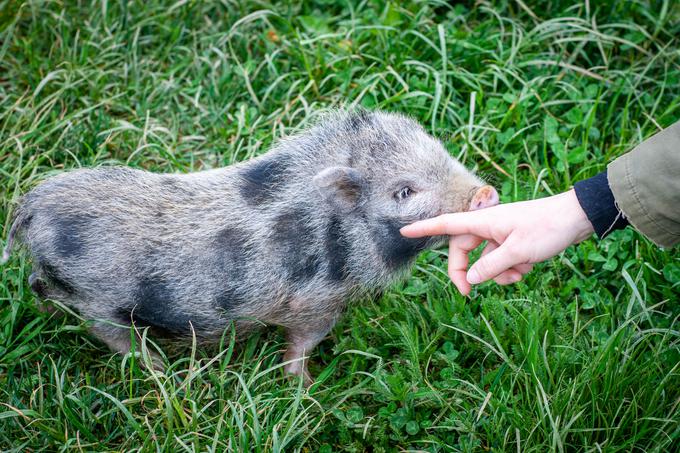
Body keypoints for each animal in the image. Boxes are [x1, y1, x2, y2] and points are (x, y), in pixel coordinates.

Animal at [1, 109, 500, 382]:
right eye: (404, 191)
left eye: (444, 154)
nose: (486, 193)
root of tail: (32, 205)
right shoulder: (315, 302)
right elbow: (301, 345)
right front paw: (306, 388)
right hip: (100, 298)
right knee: (111, 333)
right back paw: (160, 371)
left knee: (38, 285)